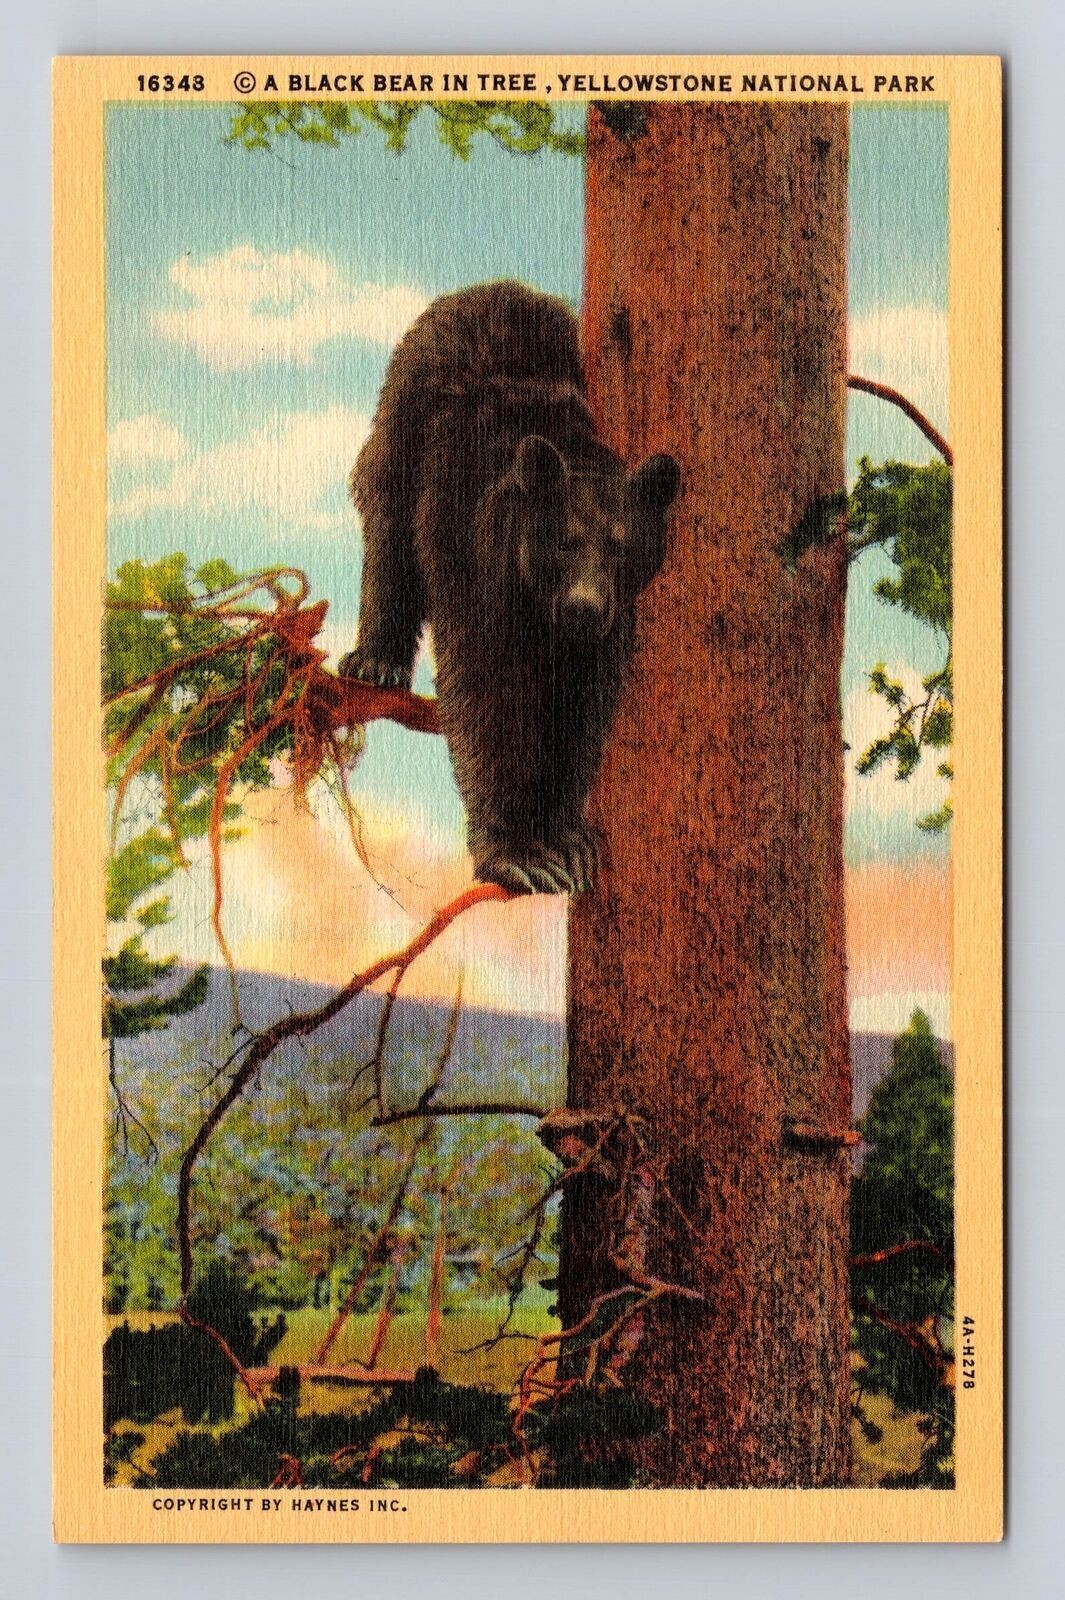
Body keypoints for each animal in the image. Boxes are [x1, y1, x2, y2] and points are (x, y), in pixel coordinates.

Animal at [340, 280, 680, 895]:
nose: (584, 608)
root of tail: (488, 288)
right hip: (404, 421)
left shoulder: (614, 623)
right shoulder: (476, 568)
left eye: (621, 547)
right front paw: (519, 853)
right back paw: (375, 662)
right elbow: (486, 693)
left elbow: (585, 711)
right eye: (564, 541)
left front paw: (570, 841)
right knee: (389, 533)